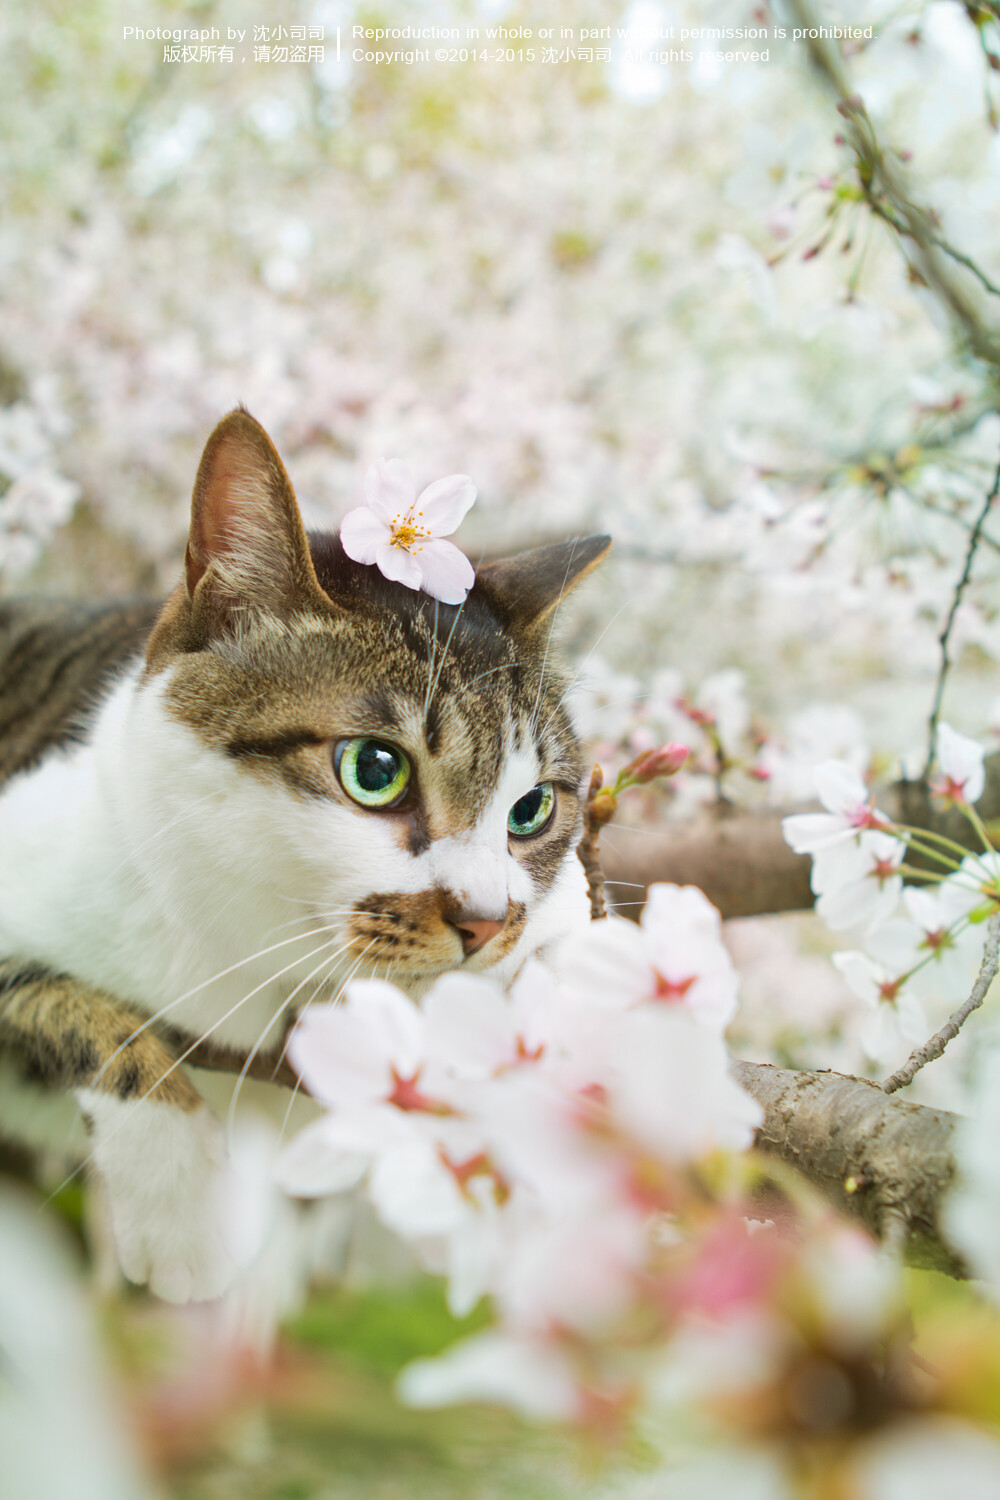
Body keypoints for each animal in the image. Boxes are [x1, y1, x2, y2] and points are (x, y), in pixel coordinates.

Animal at [0, 408, 611, 1302]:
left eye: (532, 810)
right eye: (375, 771)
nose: (485, 922)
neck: (258, 955)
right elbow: (75, 1006)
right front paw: (182, 1199)